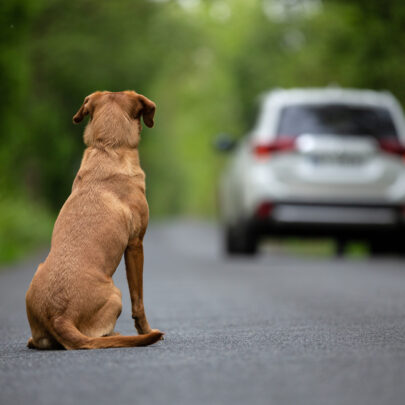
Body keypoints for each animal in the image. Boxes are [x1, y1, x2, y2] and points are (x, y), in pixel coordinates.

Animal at [25, 90, 163, 348]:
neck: (108, 147)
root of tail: (59, 316)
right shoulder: (135, 244)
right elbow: (138, 300)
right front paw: (145, 330)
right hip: (116, 294)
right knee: (100, 335)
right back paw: (119, 335)